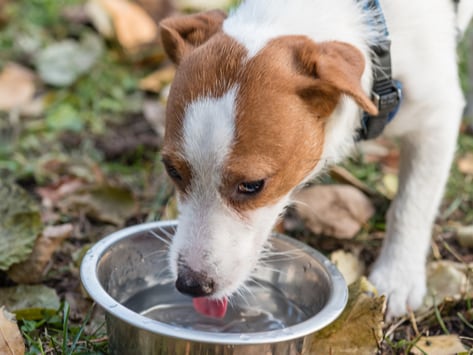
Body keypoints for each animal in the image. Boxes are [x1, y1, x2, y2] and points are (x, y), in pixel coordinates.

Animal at [158, 0, 472, 322]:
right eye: (172, 170)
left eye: (253, 185)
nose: (191, 284)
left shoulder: (437, 119)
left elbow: (411, 207)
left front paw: (398, 277)